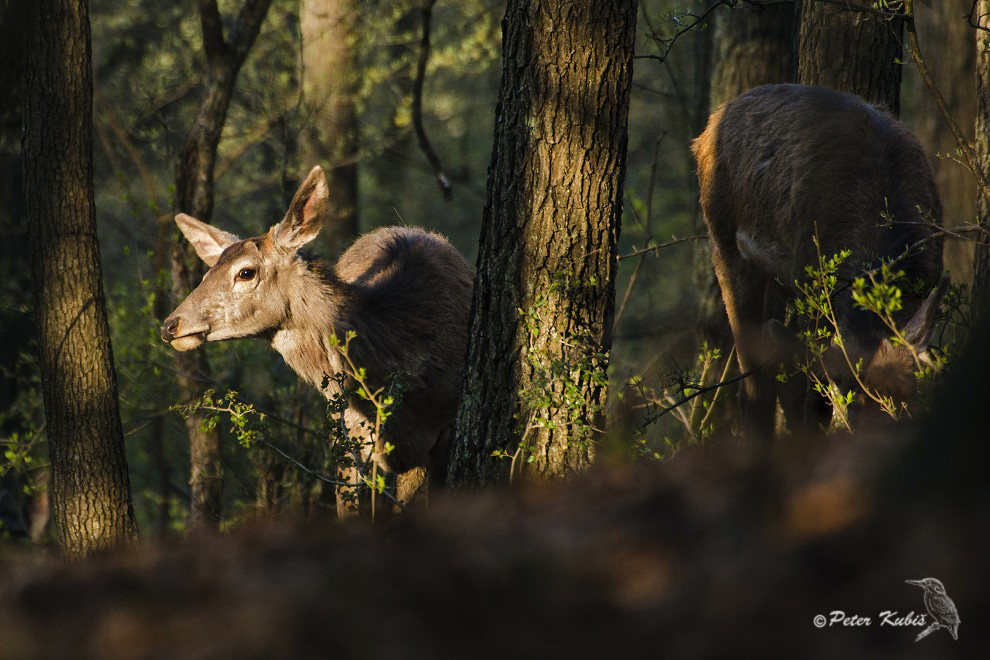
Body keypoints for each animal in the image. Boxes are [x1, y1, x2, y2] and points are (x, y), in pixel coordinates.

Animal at [692, 85, 948, 436]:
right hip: (725, 243)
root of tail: (707, 130)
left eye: (911, 406)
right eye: (854, 410)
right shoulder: (811, 286)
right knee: (756, 389)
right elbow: (812, 401)